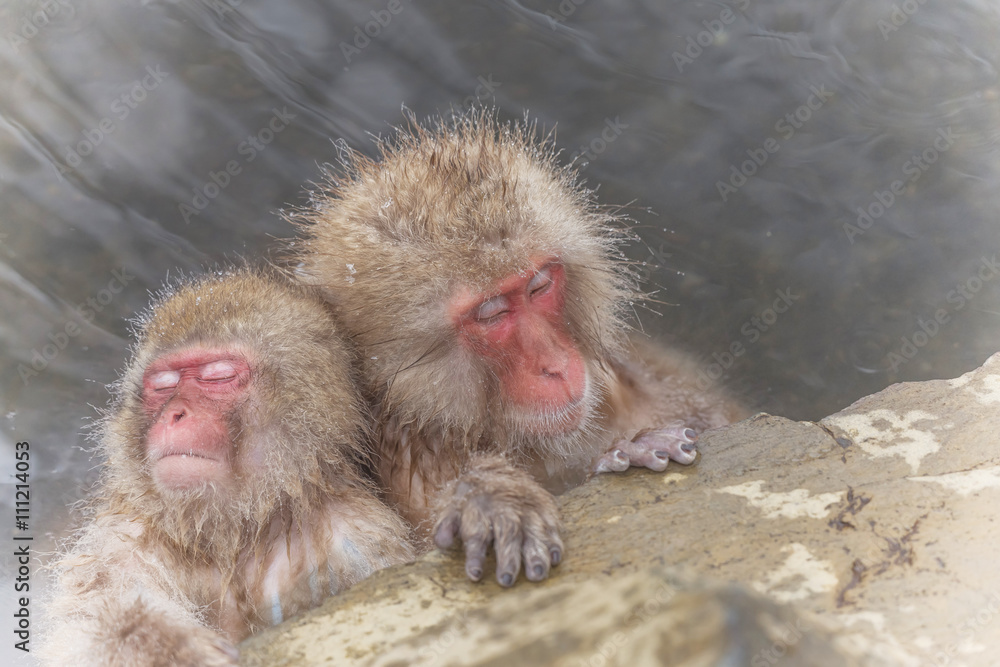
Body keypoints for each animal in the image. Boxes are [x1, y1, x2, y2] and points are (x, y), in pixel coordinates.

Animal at [41, 269, 414, 667]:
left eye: (217, 377)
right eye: (163, 386)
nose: (174, 414)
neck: (237, 533)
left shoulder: (361, 538)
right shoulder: (124, 536)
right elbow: (90, 624)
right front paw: (170, 646)